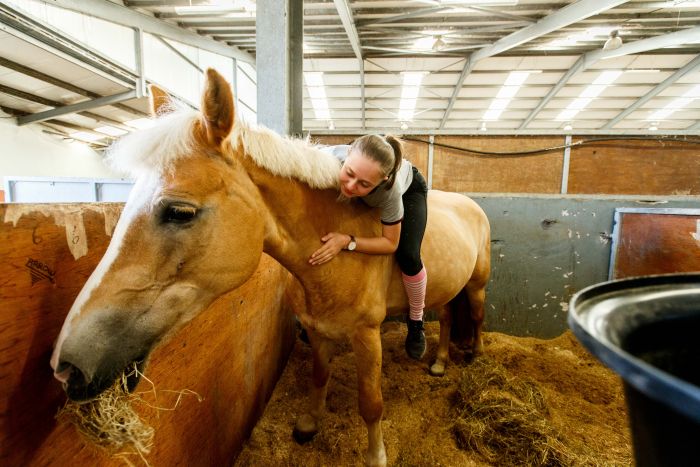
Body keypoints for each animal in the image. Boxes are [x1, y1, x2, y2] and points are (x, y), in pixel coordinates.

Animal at [49, 67, 490, 466]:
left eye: (179, 212)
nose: (67, 365)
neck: (333, 256)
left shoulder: (367, 336)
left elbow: (371, 403)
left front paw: (376, 455)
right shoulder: (318, 329)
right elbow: (319, 378)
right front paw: (309, 425)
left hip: (476, 286)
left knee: (474, 315)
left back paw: (472, 355)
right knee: (447, 317)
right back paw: (439, 361)